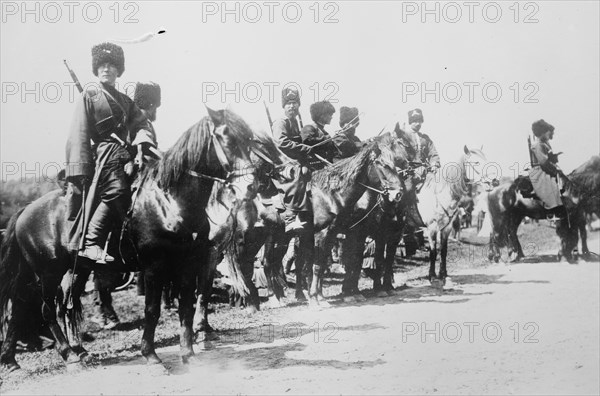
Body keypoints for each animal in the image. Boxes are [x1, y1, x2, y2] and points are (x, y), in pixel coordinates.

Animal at [0, 106, 264, 372]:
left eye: (249, 139)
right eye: (226, 138)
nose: (251, 186)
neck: (169, 201)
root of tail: (25, 210)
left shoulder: (188, 263)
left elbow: (187, 307)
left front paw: (188, 354)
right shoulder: (154, 267)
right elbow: (152, 310)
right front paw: (151, 355)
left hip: (69, 270)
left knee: (44, 305)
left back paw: (33, 357)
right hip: (47, 272)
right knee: (44, 309)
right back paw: (67, 355)